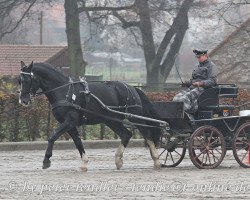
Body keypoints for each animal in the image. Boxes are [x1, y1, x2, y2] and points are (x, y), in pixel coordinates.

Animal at [18, 61, 162, 170]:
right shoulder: (69, 124)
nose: (23, 100)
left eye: (28, 79)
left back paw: (156, 160)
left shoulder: (69, 121)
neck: (64, 91)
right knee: (126, 134)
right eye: (19, 80)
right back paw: (118, 160)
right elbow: (77, 142)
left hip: (134, 115)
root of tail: (132, 88)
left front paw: (46, 160)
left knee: (147, 134)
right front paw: (84, 163)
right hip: (112, 120)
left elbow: (52, 136)